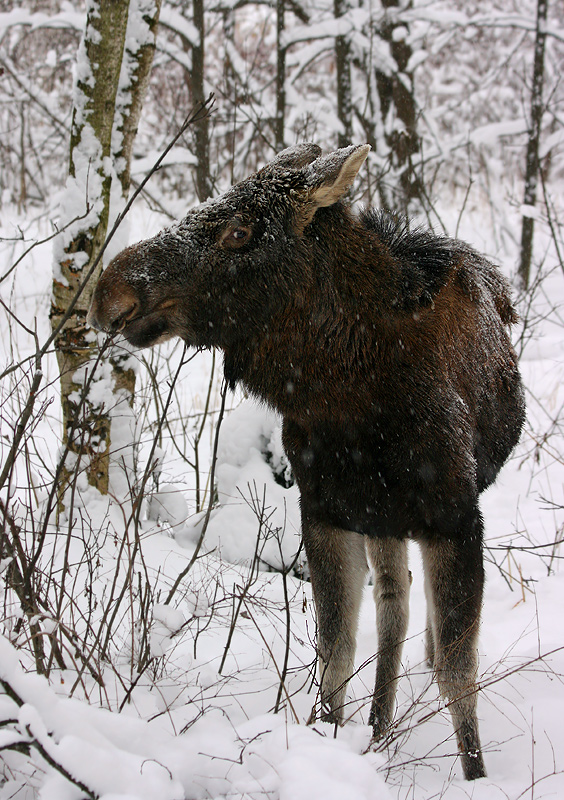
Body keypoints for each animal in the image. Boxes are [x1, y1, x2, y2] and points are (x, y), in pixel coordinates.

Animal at [88, 144, 524, 780]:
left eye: (239, 231)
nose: (109, 290)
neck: (352, 402)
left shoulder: (455, 518)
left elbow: (457, 674)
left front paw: (476, 775)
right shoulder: (327, 510)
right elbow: (335, 651)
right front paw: (329, 731)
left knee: (412, 617)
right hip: (381, 519)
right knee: (394, 602)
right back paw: (378, 727)